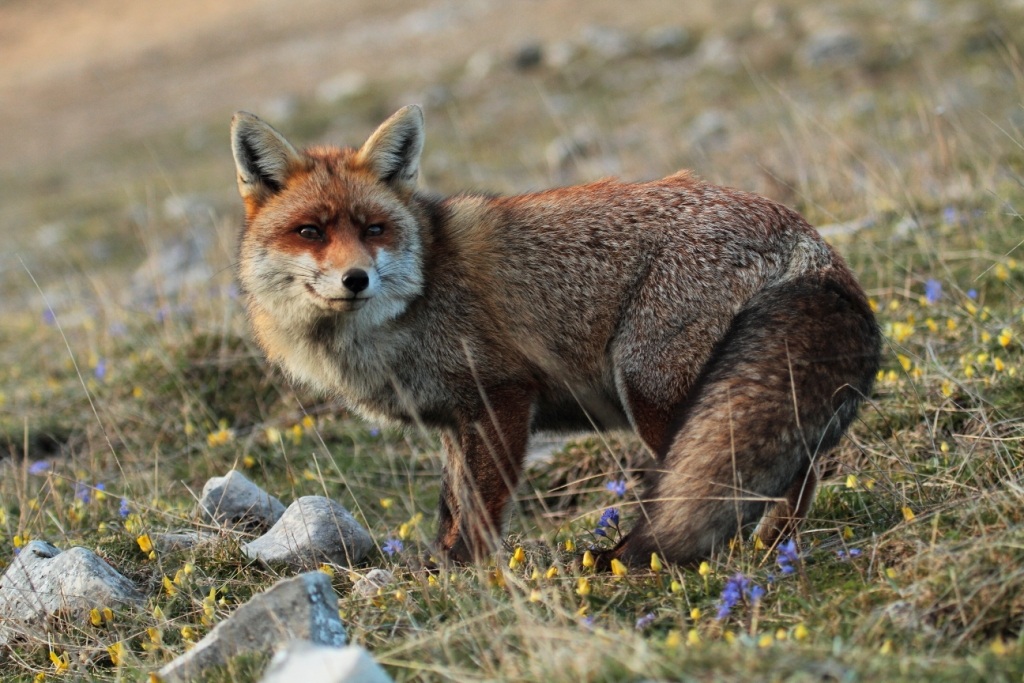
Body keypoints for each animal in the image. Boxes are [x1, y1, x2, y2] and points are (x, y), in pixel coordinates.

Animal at [229, 104, 880, 568]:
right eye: (310, 231)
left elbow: (479, 511)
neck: (420, 295)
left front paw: (464, 575)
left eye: (373, 229)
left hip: (655, 395)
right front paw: (437, 568)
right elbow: (450, 507)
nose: (355, 278)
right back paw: (771, 546)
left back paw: (753, 549)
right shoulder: (455, 422)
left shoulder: (502, 397)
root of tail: (804, 234)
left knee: (778, 476)